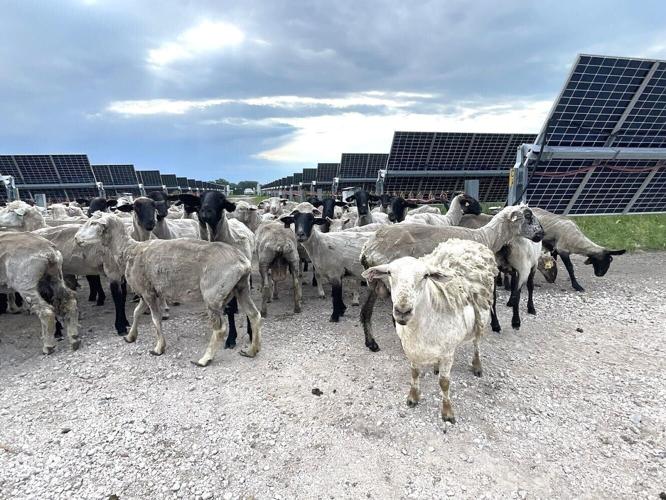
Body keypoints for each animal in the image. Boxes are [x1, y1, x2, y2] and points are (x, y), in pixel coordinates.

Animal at [75, 213, 261, 365]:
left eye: (93, 223)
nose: (76, 238)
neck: (129, 251)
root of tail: (242, 262)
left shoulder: (148, 293)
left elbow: (155, 319)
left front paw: (159, 348)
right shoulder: (146, 290)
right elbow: (136, 312)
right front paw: (130, 336)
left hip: (213, 294)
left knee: (220, 329)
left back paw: (205, 359)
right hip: (241, 288)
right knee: (254, 315)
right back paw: (252, 350)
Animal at [359, 204, 545, 351]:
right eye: (528, 216)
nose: (541, 234)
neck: (487, 237)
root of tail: (368, 248)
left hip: (376, 281)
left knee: (366, 311)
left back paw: (371, 343)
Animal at [362, 238, 497, 426]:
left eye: (425, 276)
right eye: (389, 273)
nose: (402, 311)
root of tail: (467, 241)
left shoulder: (448, 353)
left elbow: (444, 383)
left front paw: (447, 412)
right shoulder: (410, 348)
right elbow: (414, 373)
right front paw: (413, 397)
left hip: (481, 319)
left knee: (476, 343)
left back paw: (477, 366)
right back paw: (436, 367)